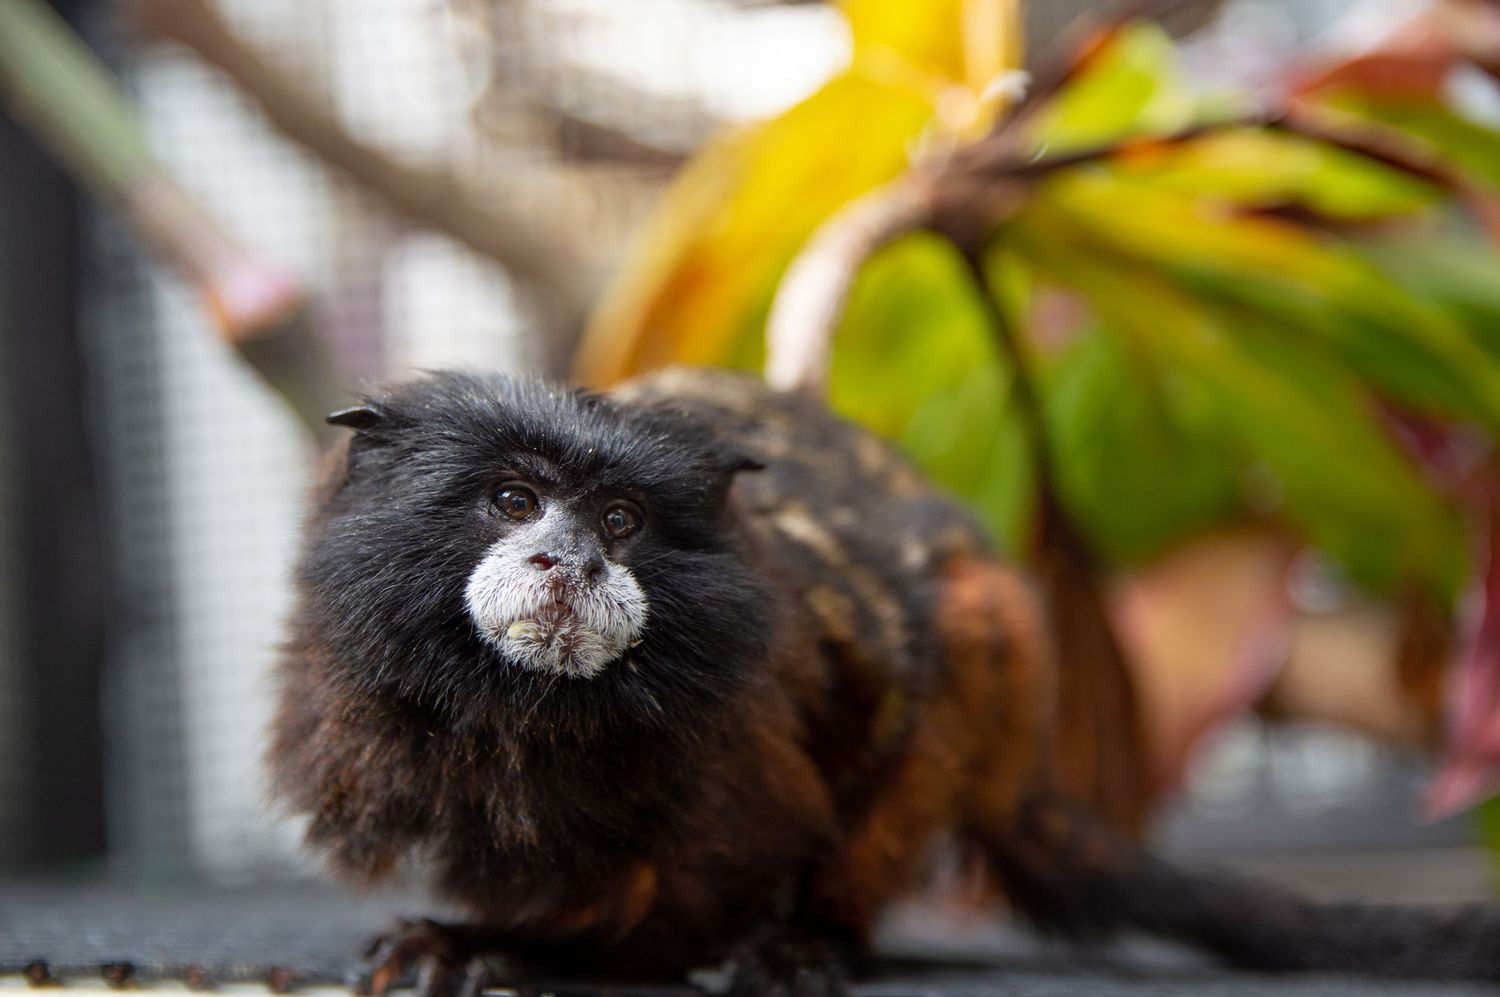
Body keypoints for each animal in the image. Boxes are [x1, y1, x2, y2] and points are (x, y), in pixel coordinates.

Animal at [270, 365, 1500, 996]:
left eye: (620, 520)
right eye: (514, 501)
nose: (570, 559)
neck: (532, 715)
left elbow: (677, 909)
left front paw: (525, 952)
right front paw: (466, 939)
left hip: (999, 650)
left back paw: (814, 943)